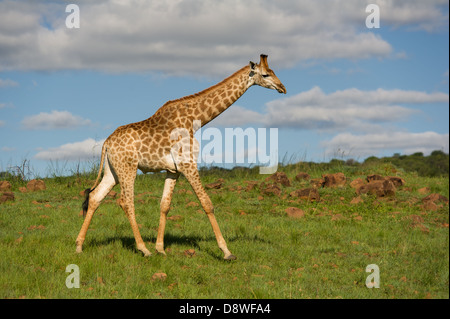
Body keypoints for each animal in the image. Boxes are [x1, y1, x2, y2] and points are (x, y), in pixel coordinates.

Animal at [74, 54, 284, 260]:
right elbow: (207, 203)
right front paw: (226, 251)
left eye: (273, 71)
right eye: (265, 74)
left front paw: (161, 249)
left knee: (95, 197)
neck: (196, 119)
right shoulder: (188, 164)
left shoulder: (173, 170)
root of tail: (106, 143)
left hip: (112, 171)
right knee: (126, 202)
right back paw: (143, 249)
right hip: (128, 168)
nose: (282, 87)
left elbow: (165, 205)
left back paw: (79, 245)